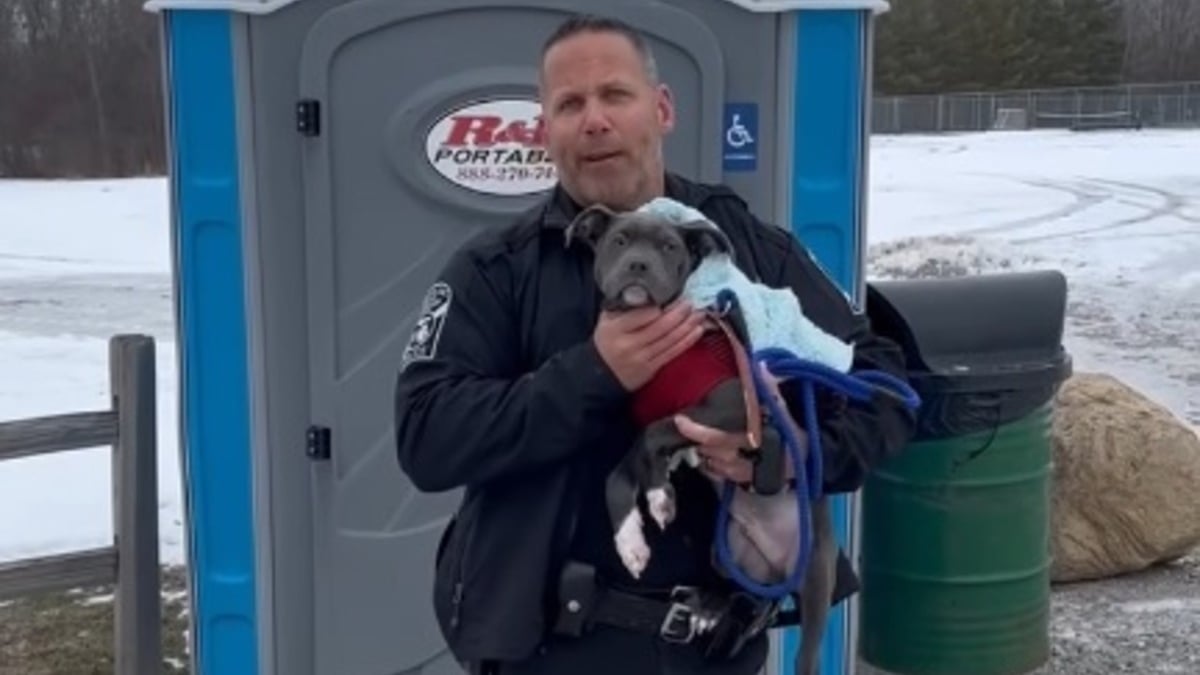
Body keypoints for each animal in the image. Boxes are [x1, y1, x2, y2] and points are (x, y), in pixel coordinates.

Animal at [564, 204, 835, 672]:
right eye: (620, 240)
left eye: (669, 247)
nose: (639, 266)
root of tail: (780, 569)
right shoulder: (651, 422)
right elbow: (619, 473)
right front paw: (631, 539)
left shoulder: (733, 406)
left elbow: (656, 433)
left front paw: (659, 497)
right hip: (723, 552)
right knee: (747, 596)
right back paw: (712, 607)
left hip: (817, 571)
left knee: (808, 652)